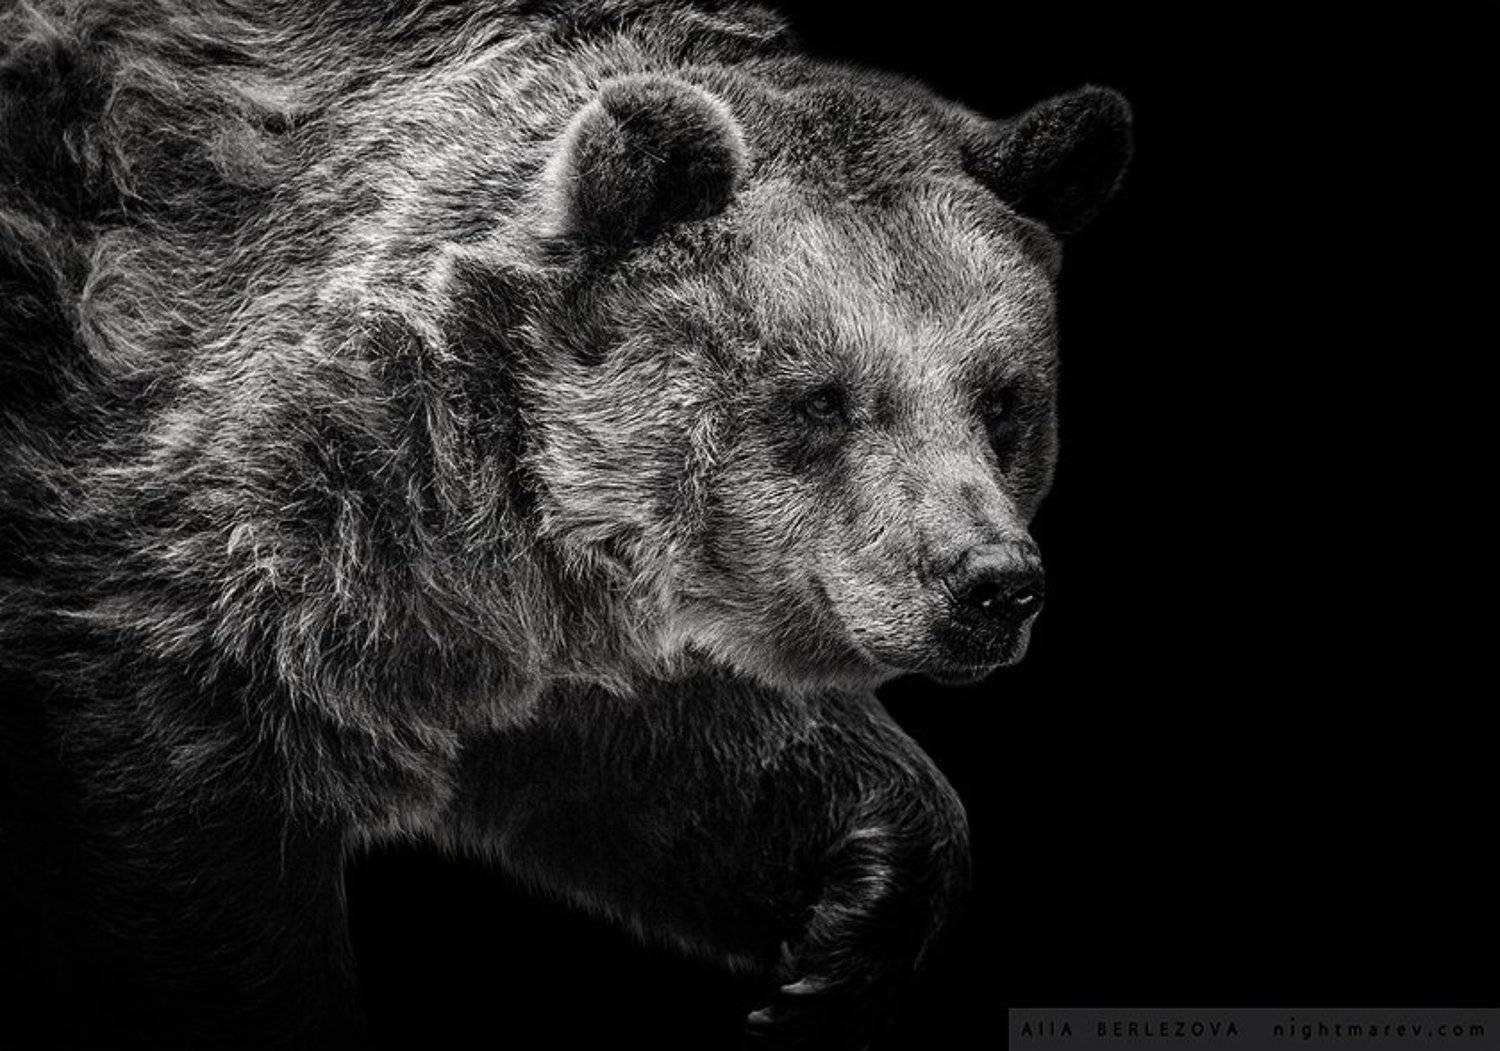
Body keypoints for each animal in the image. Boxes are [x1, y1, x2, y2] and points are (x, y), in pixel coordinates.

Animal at [0, 0, 1131, 1047]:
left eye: (1003, 399)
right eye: (820, 398)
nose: (989, 582)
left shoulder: (531, 643)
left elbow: (665, 764)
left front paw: (849, 929)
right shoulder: (206, 554)